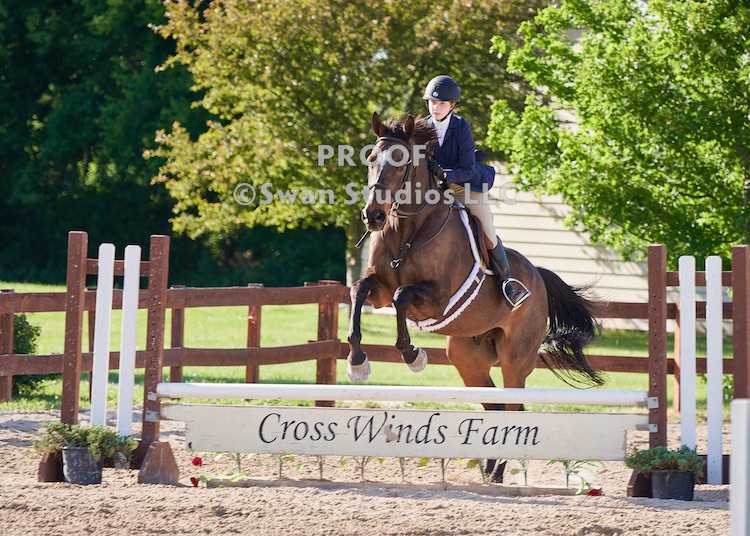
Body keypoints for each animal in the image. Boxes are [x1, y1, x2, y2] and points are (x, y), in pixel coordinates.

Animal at [345, 112, 605, 482]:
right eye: (370, 160)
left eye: (401, 163)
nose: (373, 216)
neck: (405, 230)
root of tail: (538, 277)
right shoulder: (377, 289)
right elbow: (360, 292)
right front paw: (357, 363)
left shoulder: (438, 298)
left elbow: (401, 296)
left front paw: (412, 355)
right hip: (468, 359)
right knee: (493, 404)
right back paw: (491, 468)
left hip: (515, 359)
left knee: (513, 406)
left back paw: (498, 471)